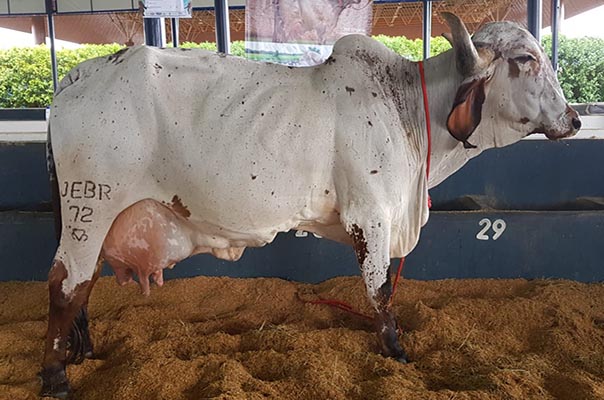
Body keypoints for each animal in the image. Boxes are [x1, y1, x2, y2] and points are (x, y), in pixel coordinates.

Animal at [39, 14, 580, 398]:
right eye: (525, 58)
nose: (574, 119)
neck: (409, 109)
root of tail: (76, 76)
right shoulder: (371, 215)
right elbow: (380, 290)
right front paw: (397, 350)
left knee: (84, 284)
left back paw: (81, 353)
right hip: (90, 203)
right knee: (65, 285)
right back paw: (55, 376)